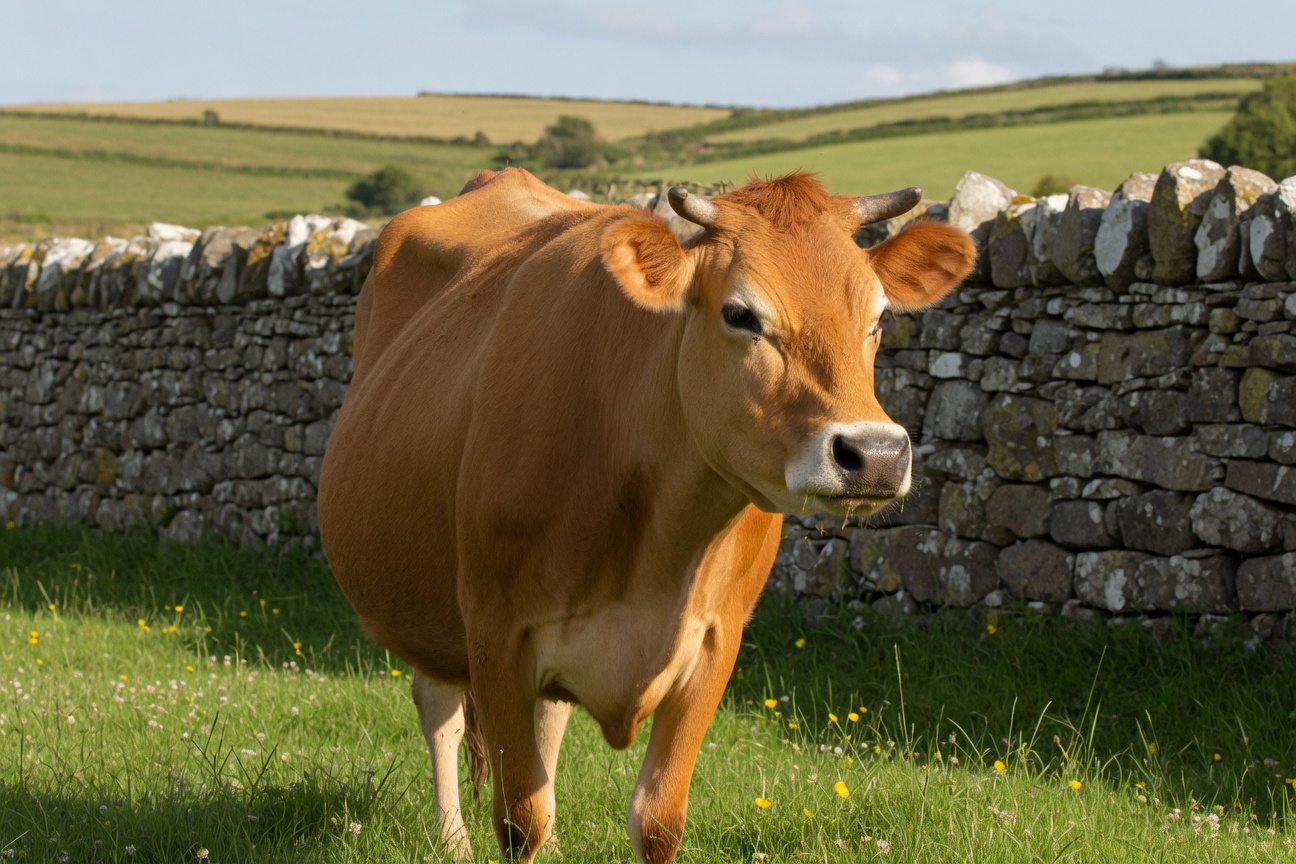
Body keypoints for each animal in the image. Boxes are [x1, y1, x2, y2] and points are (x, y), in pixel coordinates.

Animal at [317, 167, 975, 864]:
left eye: (878, 317)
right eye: (739, 313)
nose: (875, 454)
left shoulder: (715, 642)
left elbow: (657, 821)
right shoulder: (496, 634)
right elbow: (521, 818)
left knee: (545, 718)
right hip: (430, 605)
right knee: (438, 705)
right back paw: (452, 842)